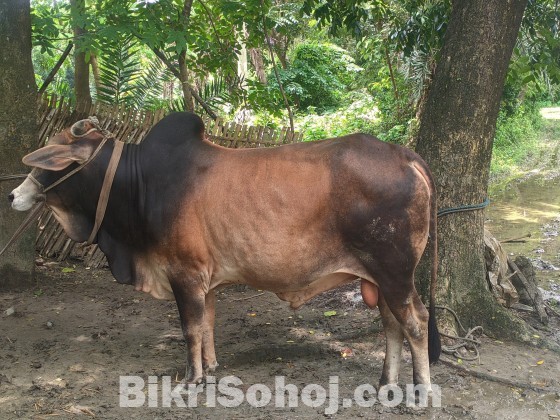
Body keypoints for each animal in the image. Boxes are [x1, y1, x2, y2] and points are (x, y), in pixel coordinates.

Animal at [7, 112, 438, 390]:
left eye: (50, 161)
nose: (13, 195)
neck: (139, 183)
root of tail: (404, 155)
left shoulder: (183, 273)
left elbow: (190, 328)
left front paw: (193, 378)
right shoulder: (206, 280)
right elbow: (208, 323)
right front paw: (212, 367)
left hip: (395, 273)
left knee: (415, 322)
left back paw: (419, 392)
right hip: (381, 278)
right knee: (392, 325)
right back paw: (385, 383)